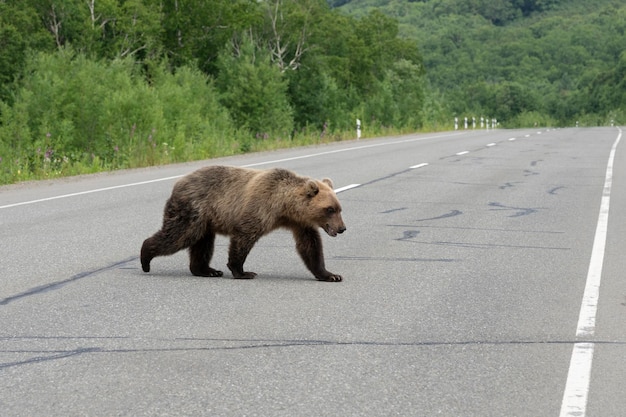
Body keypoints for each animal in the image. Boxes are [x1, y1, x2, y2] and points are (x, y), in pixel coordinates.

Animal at [140, 164, 346, 282]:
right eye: (329, 209)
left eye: (339, 208)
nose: (342, 228)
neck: (284, 207)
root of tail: (179, 182)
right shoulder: (260, 207)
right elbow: (244, 236)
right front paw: (243, 272)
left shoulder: (300, 223)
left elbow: (310, 246)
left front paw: (331, 275)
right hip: (193, 210)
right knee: (178, 235)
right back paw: (145, 258)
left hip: (205, 220)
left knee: (203, 243)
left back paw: (207, 270)